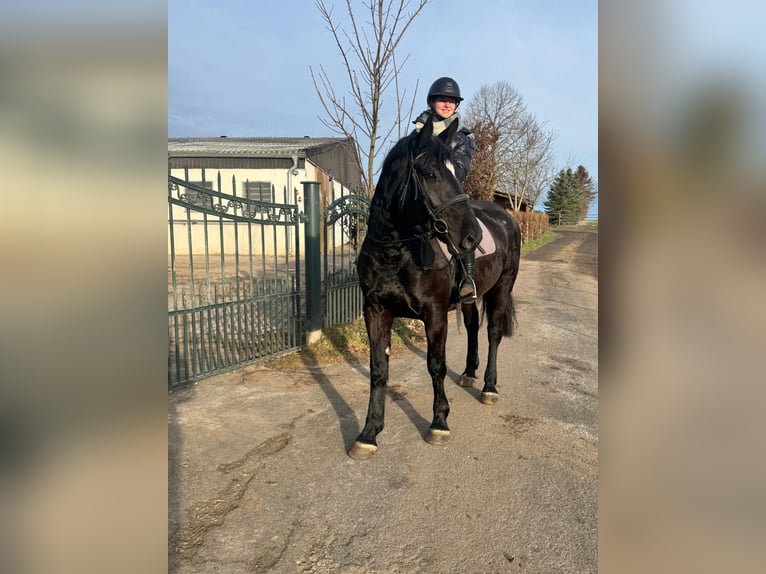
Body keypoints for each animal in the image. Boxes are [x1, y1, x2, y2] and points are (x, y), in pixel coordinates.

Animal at [348, 115, 521, 460]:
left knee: (493, 333)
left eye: (455, 170)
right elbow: (378, 370)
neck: (396, 251)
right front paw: (369, 433)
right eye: (429, 174)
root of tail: (507, 219)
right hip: (471, 296)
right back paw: (468, 374)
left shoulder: (435, 313)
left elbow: (436, 366)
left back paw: (489, 387)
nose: (472, 237)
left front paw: (439, 423)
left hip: (502, 287)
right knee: (472, 326)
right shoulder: (375, 311)